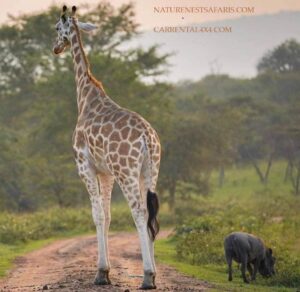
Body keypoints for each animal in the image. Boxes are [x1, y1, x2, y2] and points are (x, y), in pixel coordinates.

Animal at [54, 5, 162, 290]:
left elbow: (97, 215)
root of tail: (147, 138)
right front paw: (107, 271)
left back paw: (147, 276)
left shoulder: (85, 166)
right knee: (151, 213)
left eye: (57, 28)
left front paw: (101, 272)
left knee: (139, 212)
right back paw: (153, 275)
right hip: (150, 170)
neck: (85, 97)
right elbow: (109, 215)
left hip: (127, 171)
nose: (55, 48)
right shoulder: (106, 172)